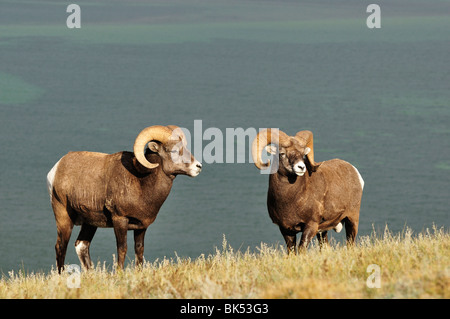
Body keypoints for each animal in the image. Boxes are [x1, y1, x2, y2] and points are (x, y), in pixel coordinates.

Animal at [47, 125, 200, 272]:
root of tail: (56, 169)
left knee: (82, 245)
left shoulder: (141, 226)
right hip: (64, 217)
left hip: (90, 222)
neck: (141, 182)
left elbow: (139, 250)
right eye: (173, 151)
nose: (198, 166)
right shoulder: (120, 220)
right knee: (61, 247)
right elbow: (122, 249)